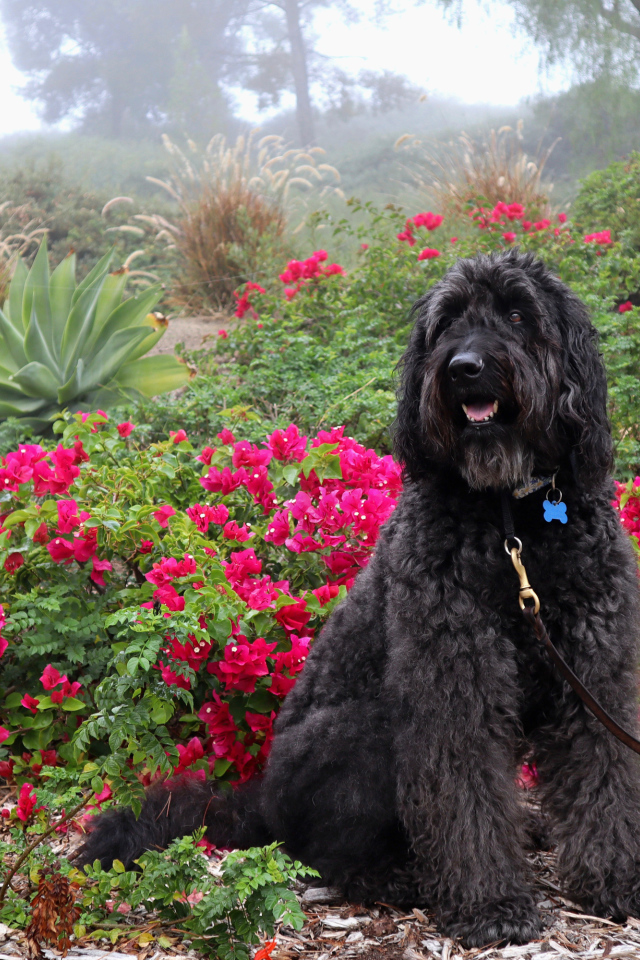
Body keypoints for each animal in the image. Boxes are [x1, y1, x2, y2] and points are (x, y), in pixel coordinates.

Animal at [80, 251, 640, 948]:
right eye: (448, 321)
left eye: (517, 314)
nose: (464, 367)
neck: (512, 523)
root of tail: (262, 801)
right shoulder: (452, 681)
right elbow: (464, 793)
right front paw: (491, 904)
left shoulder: (594, 666)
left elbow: (605, 772)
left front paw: (612, 882)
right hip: (366, 730)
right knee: (327, 854)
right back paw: (395, 878)